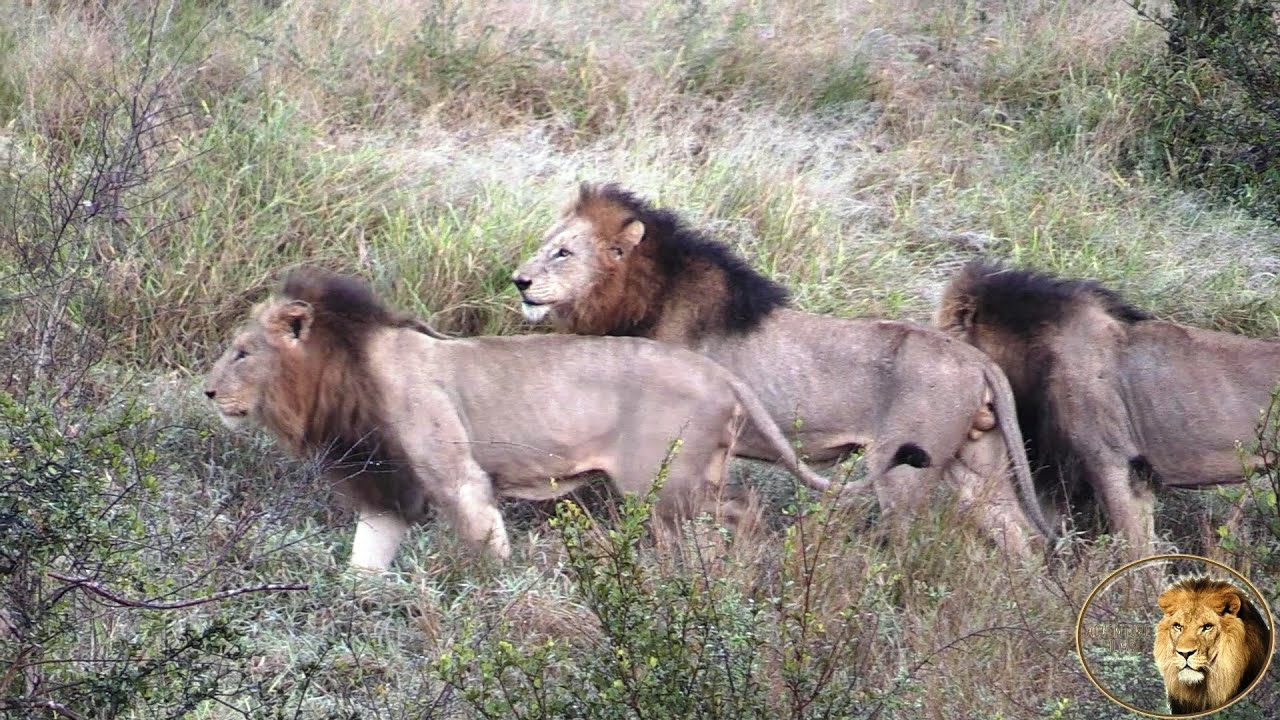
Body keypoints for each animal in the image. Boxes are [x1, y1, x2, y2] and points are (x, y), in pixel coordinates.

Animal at [204, 269, 837, 570]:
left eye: (242, 352)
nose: (207, 391)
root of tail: (720, 373)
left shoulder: (458, 479)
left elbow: (486, 553)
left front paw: (490, 610)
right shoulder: (387, 486)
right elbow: (365, 561)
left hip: (664, 488)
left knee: (715, 527)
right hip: (691, 482)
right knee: (745, 509)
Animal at [511, 183, 1054, 557]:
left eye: (563, 253)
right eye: (545, 244)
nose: (519, 280)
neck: (638, 301)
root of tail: (977, 358)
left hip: (903, 472)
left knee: (913, 545)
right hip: (978, 464)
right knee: (1019, 539)